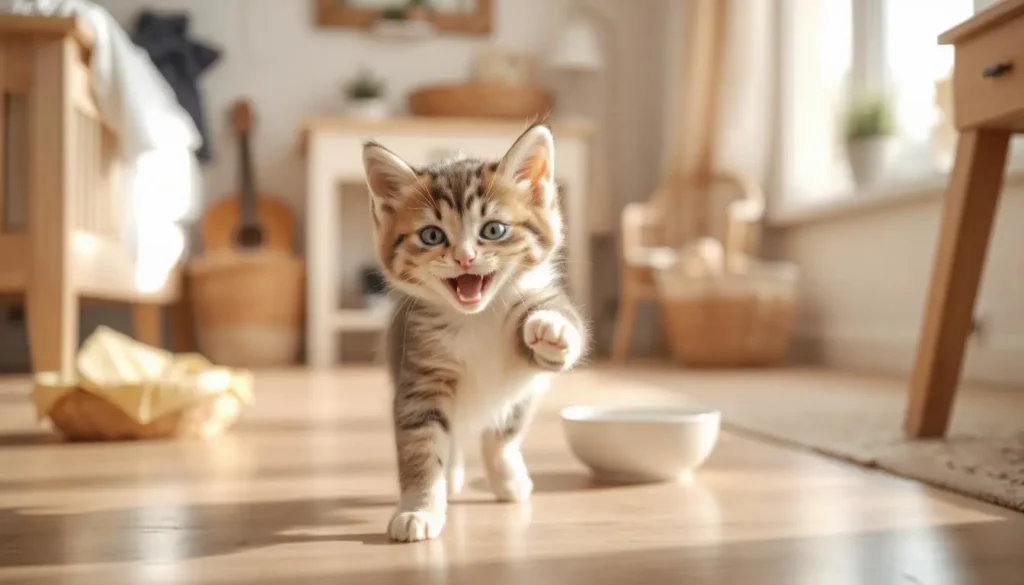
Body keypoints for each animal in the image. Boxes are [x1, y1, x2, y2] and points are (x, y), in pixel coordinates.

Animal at [362, 124, 589, 545]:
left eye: (493, 230)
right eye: (432, 235)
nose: (465, 258)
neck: (476, 318)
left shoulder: (529, 360)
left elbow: (502, 435)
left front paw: (551, 329)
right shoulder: (418, 373)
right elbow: (421, 449)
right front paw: (420, 508)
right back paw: (450, 476)